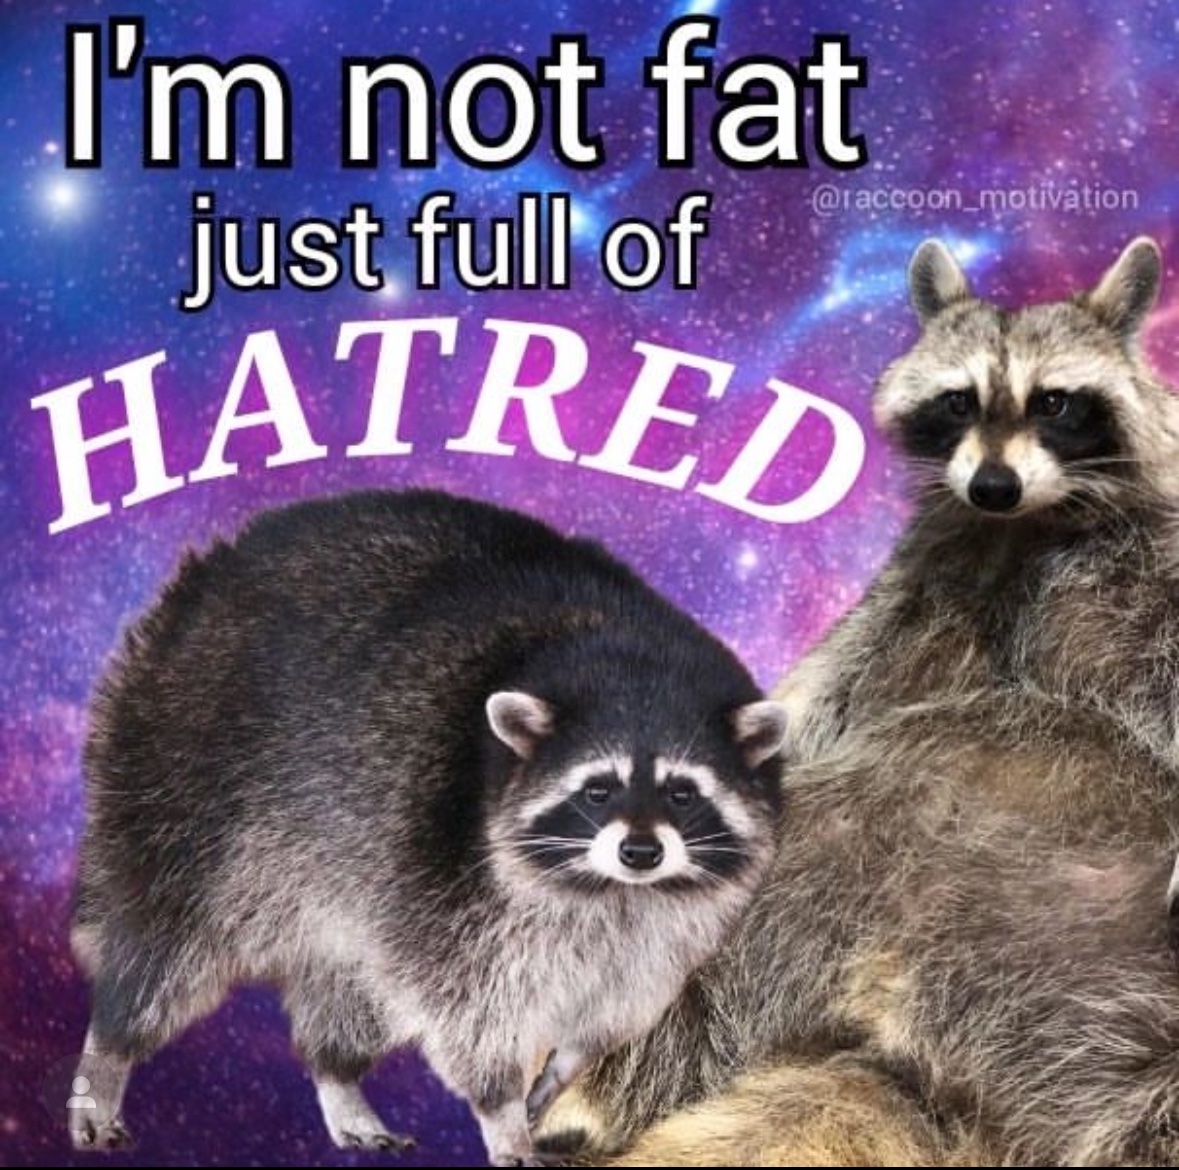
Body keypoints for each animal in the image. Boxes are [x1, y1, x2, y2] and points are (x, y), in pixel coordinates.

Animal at [70, 489, 788, 1165]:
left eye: (682, 792)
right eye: (597, 789)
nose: (640, 850)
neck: (607, 889)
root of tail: (207, 575)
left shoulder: (662, 930)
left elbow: (615, 1004)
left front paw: (558, 1073)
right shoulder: (443, 864)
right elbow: (467, 1009)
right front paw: (501, 1108)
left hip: (343, 882)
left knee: (350, 989)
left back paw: (339, 1077)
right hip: (190, 775)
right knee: (165, 945)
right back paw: (107, 1052)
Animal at [539, 239, 1179, 1166]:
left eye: (1054, 402)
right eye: (958, 400)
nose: (992, 484)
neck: (1024, 527)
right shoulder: (922, 589)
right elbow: (814, 700)